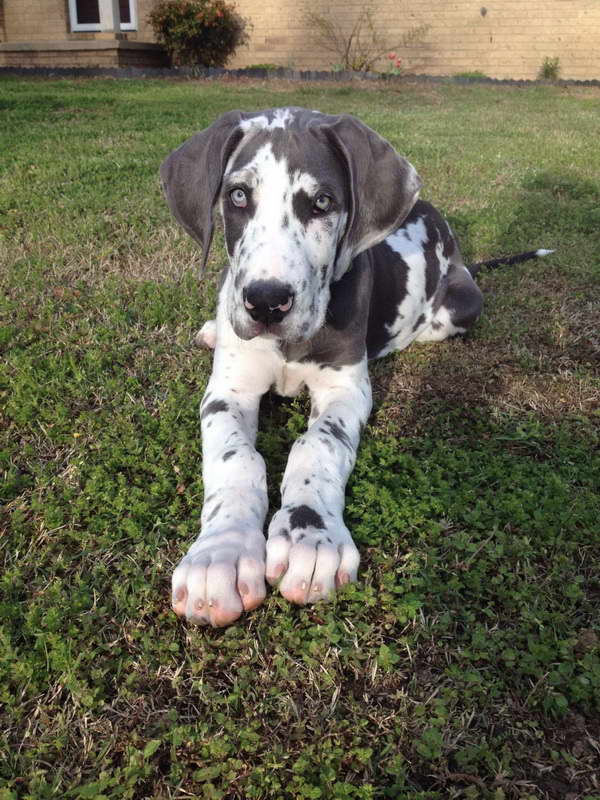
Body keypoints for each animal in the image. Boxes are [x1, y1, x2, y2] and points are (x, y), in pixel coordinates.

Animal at [161, 106, 552, 628]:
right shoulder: (229, 390)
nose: (266, 302)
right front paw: (219, 554)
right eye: (238, 195)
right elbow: (235, 457)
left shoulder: (345, 389)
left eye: (322, 202)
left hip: (462, 303)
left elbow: (317, 444)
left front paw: (312, 537)